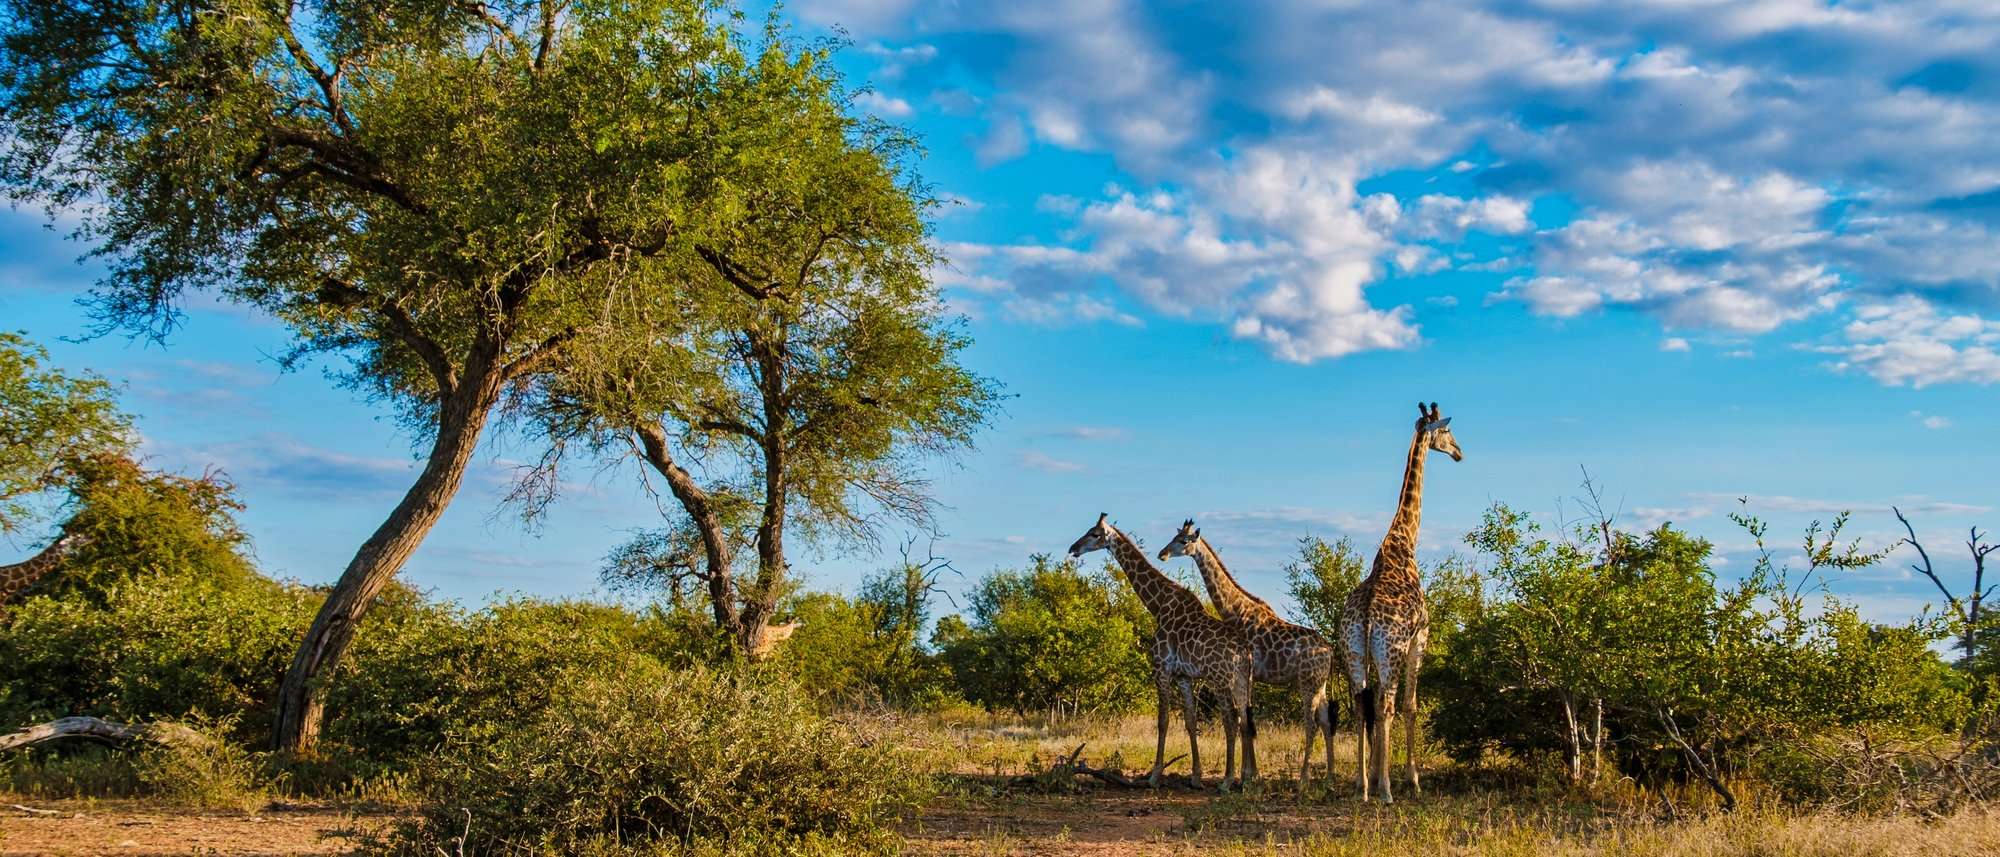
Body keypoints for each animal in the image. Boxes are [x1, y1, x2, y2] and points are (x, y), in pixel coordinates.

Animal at [1068, 513, 1257, 790]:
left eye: (1094, 534)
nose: (1073, 548)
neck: (1157, 605)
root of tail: (1245, 651)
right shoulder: (1184, 676)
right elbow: (1190, 721)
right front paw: (1196, 777)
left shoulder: (1161, 668)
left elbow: (1163, 720)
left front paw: (1155, 776)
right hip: (1242, 680)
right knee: (1245, 719)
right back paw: (1245, 779)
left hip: (1220, 679)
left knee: (1231, 720)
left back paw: (1226, 781)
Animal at [1159, 521, 1339, 786]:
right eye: (1174, 536)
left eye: (1183, 541)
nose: (1162, 554)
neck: (1235, 611)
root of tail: (1330, 651)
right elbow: (1247, 719)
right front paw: (1251, 774)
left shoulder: (1248, 672)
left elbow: (1245, 719)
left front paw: (1247, 775)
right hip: (1320, 684)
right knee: (1326, 722)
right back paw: (1329, 777)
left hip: (1308, 683)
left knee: (1311, 724)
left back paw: (1303, 779)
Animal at [1342, 402, 1462, 803]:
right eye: (1447, 432)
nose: (1459, 453)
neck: (1403, 541)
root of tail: (1365, 616)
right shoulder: (1419, 638)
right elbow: (1411, 706)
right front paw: (1412, 779)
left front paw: (1373, 776)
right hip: (1391, 650)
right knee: (1387, 706)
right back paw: (1387, 789)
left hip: (1354, 651)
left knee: (1361, 703)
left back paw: (1363, 786)